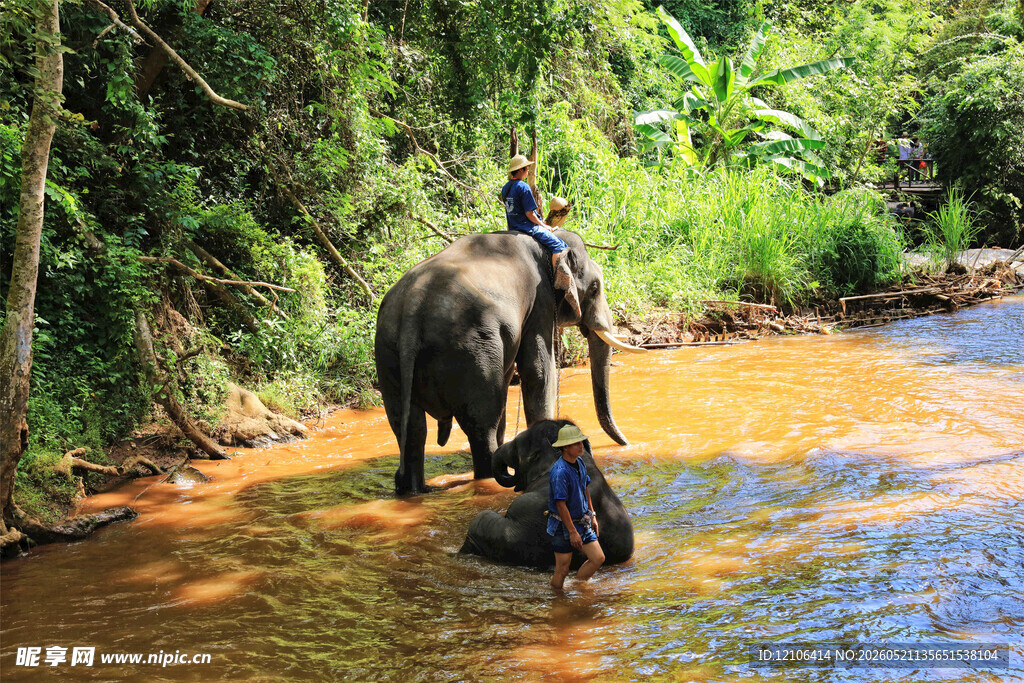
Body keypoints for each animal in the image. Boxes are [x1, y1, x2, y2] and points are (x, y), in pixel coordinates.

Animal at [374, 228, 645, 495]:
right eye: (595, 287)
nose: (627, 444)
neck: (545, 246)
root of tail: (412, 309)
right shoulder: (539, 302)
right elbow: (538, 371)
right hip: (468, 349)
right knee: (481, 424)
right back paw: (492, 476)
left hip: (389, 354)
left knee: (409, 427)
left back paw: (415, 490)